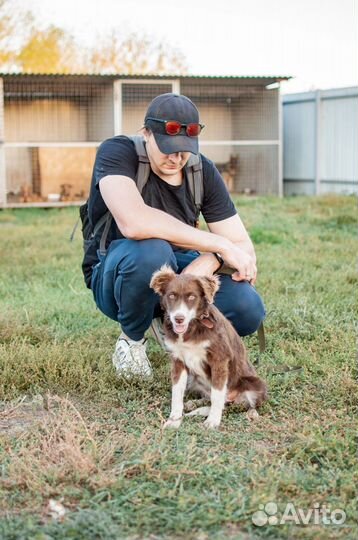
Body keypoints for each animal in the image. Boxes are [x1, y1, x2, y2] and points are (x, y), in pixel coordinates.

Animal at [150, 266, 268, 430]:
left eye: (192, 297)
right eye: (171, 295)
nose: (178, 319)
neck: (192, 328)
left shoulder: (219, 359)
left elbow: (217, 395)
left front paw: (212, 421)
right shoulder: (178, 360)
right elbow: (177, 393)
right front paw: (174, 420)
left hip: (255, 384)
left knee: (238, 404)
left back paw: (250, 413)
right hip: (194, 379)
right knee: (212, 398)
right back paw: (194, 404)